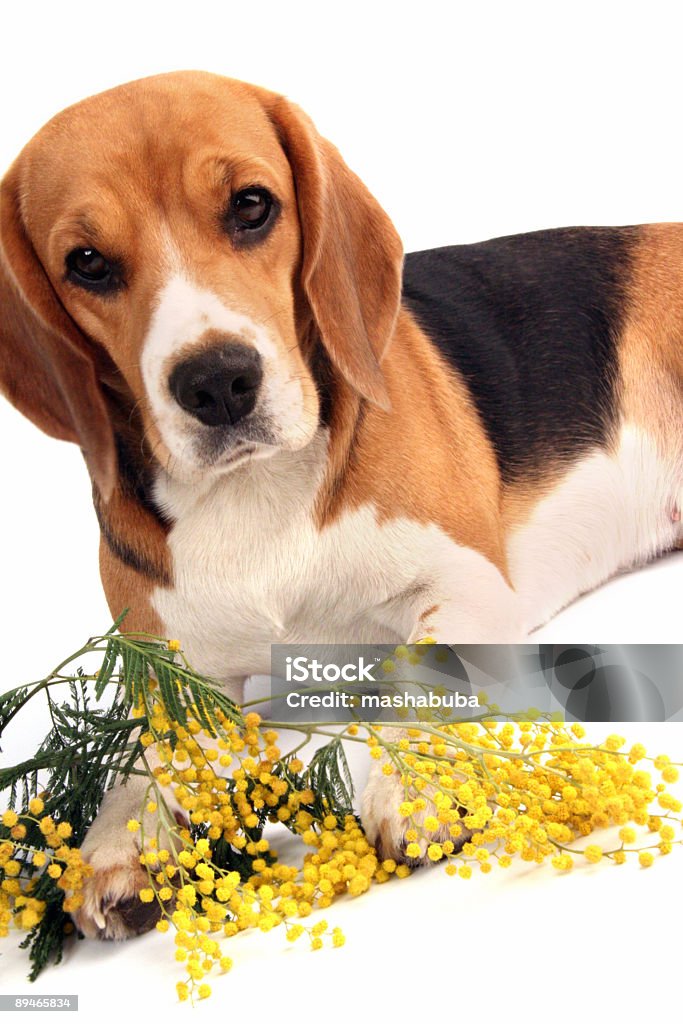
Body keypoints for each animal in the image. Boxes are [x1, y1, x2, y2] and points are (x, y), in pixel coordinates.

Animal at [1, 70, 683, 937]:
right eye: (86, 262)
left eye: (251, 206)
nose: (218, 382)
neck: (254, 492)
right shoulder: (171, 663)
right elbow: (149, 745)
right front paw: (124, 836)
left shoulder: (465, 586)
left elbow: (424, 675)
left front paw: (416, 782)